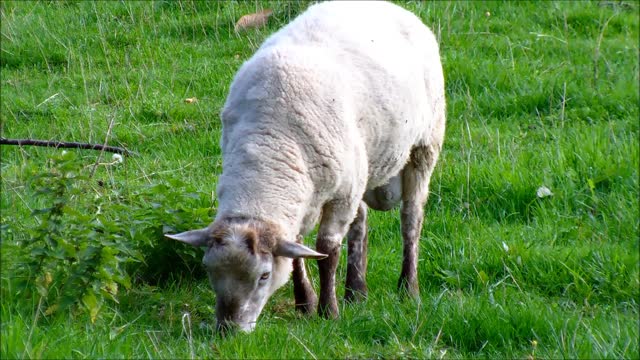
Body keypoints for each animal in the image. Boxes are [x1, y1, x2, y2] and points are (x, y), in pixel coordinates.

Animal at [165, 0, 444, 332]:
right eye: (209, 271)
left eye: (263, 276)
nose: (229, 329)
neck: (269, 143)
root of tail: (389, 7)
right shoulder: (307, 196)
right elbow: (297, 248)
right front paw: (305, 303)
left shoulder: (341, 195)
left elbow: (326, 251)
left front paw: (328, 311)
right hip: (362, 165)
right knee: (361, 221)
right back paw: (356, 291)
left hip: (425, 144)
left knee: (411, 218)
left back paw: (408, 288)